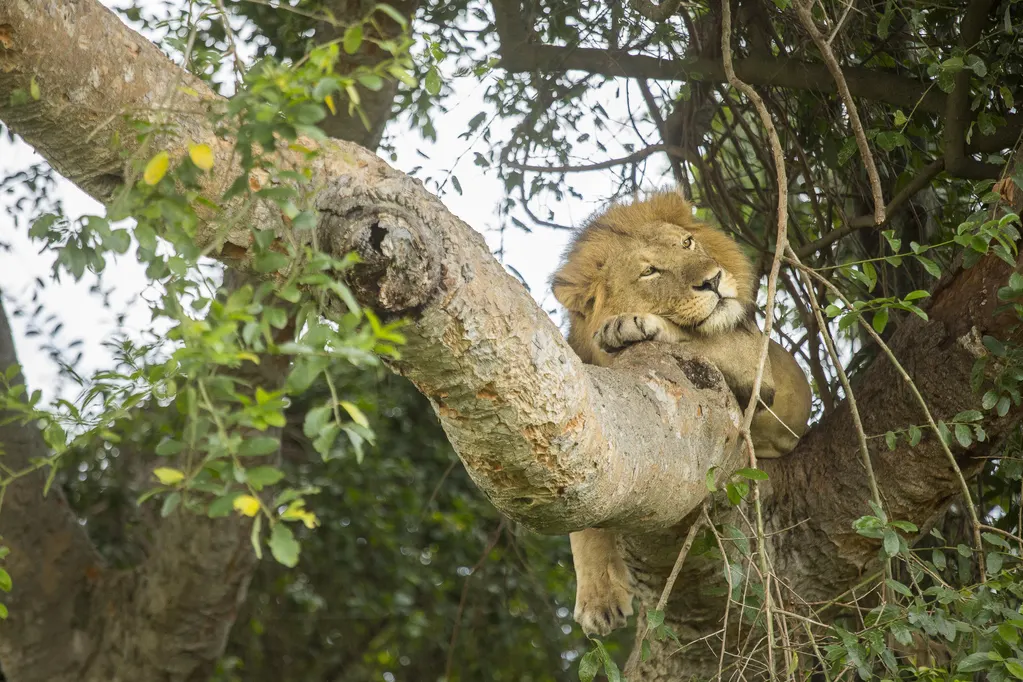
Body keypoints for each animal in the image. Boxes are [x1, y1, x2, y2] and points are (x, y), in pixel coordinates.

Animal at [548, 189, 810, 638]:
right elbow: (584, 521)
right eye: (650, 271)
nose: (713, 280)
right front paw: (599, 600)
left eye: (687, 244)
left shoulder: (752, 360)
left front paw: (630, 324)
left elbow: (695, 335)